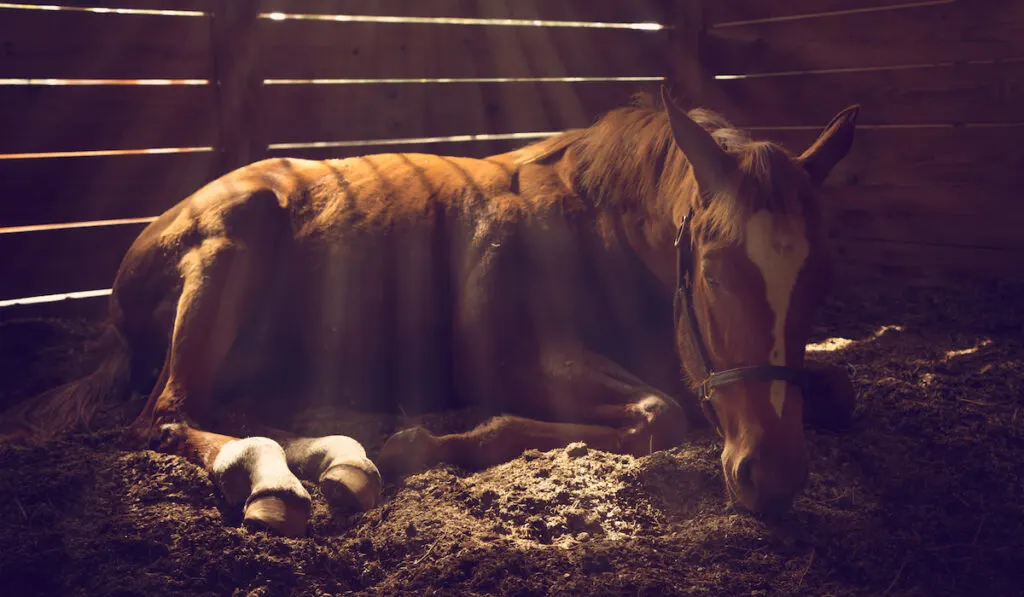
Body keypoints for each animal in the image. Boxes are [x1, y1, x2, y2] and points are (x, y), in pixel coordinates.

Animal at [4, 87, 860, 536]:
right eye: (713, 271)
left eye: (822, 275)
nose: (773, 477)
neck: (594, 221)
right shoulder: (519, 359)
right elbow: (661, 414)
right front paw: (431, 440)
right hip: (229, 250)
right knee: (167, 416)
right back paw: (282, 486)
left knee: (244, 412)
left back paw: (340, 464)